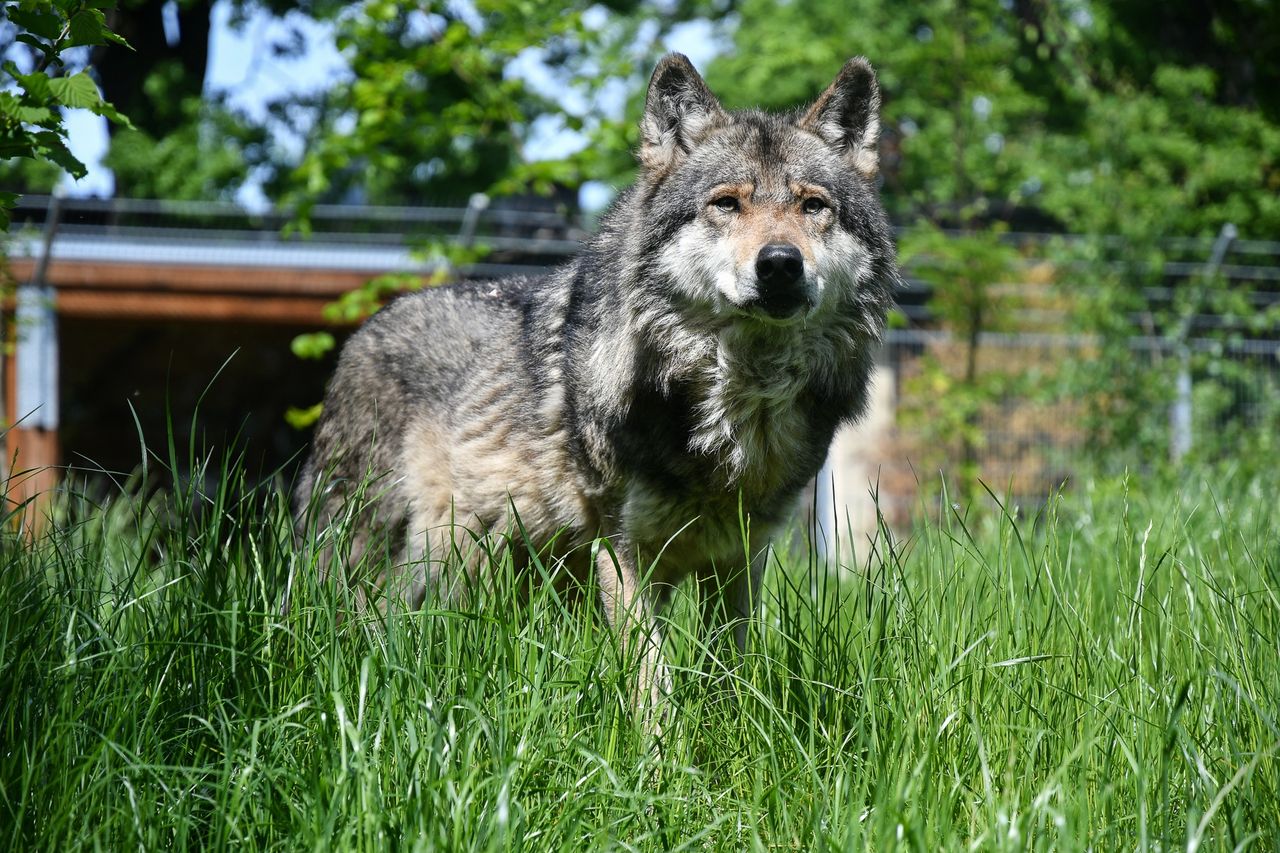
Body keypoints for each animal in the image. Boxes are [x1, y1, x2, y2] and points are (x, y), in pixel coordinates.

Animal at [296, 53, 901, 712]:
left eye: (813, 206)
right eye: (726, 204)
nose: (780, 264)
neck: (733, 405)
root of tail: (363, 332)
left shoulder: (742, 557)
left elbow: (733, 677)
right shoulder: (623, 550)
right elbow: (653, 683)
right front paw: (662, 745)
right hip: (399, 555)